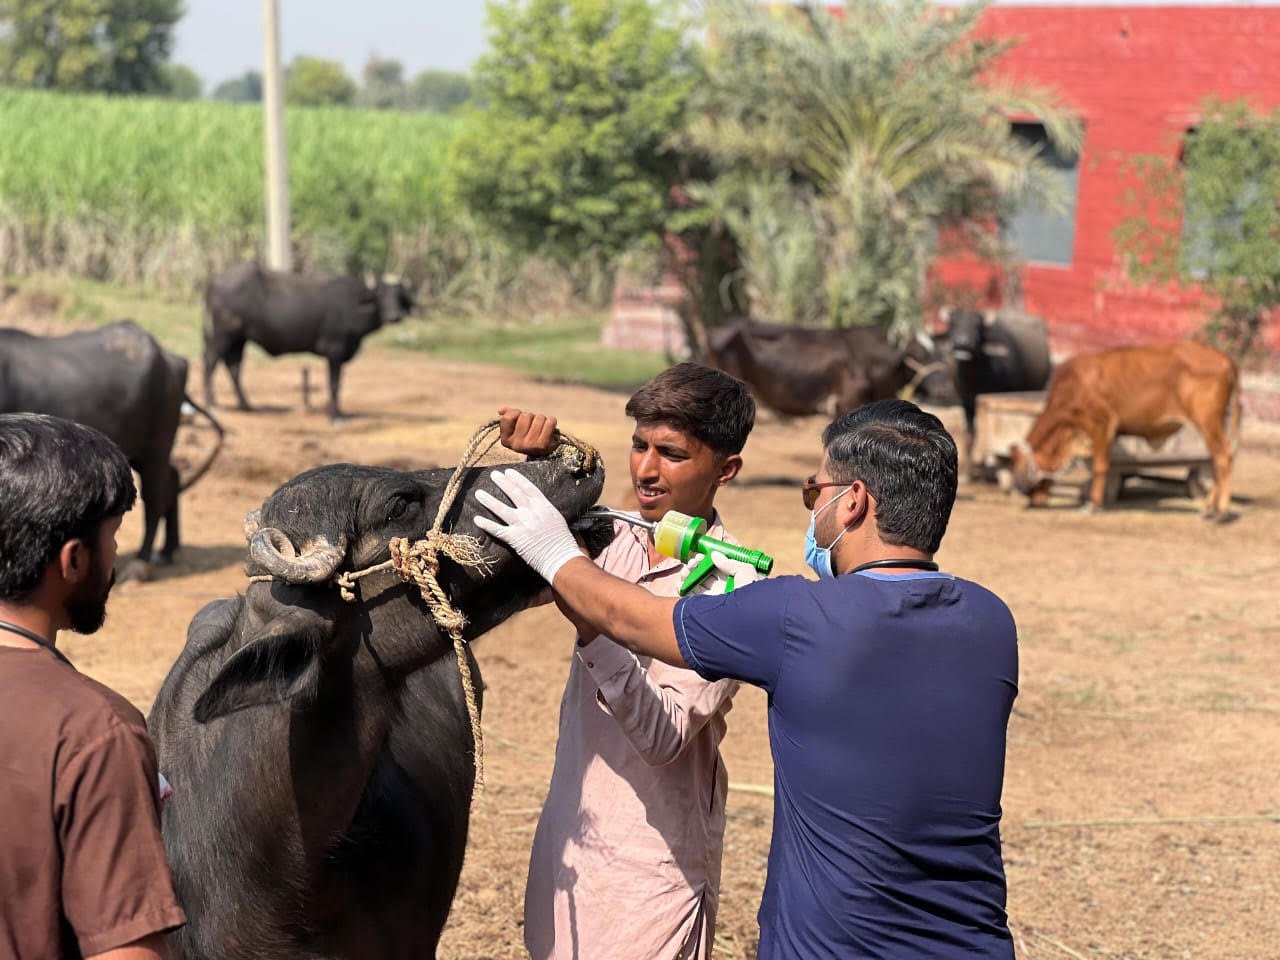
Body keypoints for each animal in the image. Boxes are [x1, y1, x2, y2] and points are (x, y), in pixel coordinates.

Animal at [0, 321, 224, 580]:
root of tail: (170, 358)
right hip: (142, 451)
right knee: (172, 477)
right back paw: (167, 551)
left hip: (157, 445)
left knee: (155, 496)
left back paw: (140, 563)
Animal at [203, 262, 417, 422]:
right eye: (381, 294)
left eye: (399, 296)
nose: (394, 316)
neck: (354, 305)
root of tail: (213, 280)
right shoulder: (334, 351)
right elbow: (333, 383)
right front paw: (334, 415)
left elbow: (339, 384)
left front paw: (339, 411)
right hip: (222, 336)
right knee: (210, 361)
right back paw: (212, 403)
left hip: (239, 339)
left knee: (234, 367)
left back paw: (246, 405)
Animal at [942, 308, 1053, 475]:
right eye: (953, 323)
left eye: (978, 325)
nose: (963, 344)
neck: (975, 379)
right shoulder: (967, 402)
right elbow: (970, 436)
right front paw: (969, 470)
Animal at [1009, 341, 1240, 519]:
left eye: (1020, 465)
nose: (1031, 499)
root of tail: (1226, 359)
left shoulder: (1101, 425)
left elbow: (1100, 467)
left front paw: (1093, 505)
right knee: (1216, 461)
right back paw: (1210, 508)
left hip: (1207, 421)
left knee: (1223, 457)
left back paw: (1221, 511)